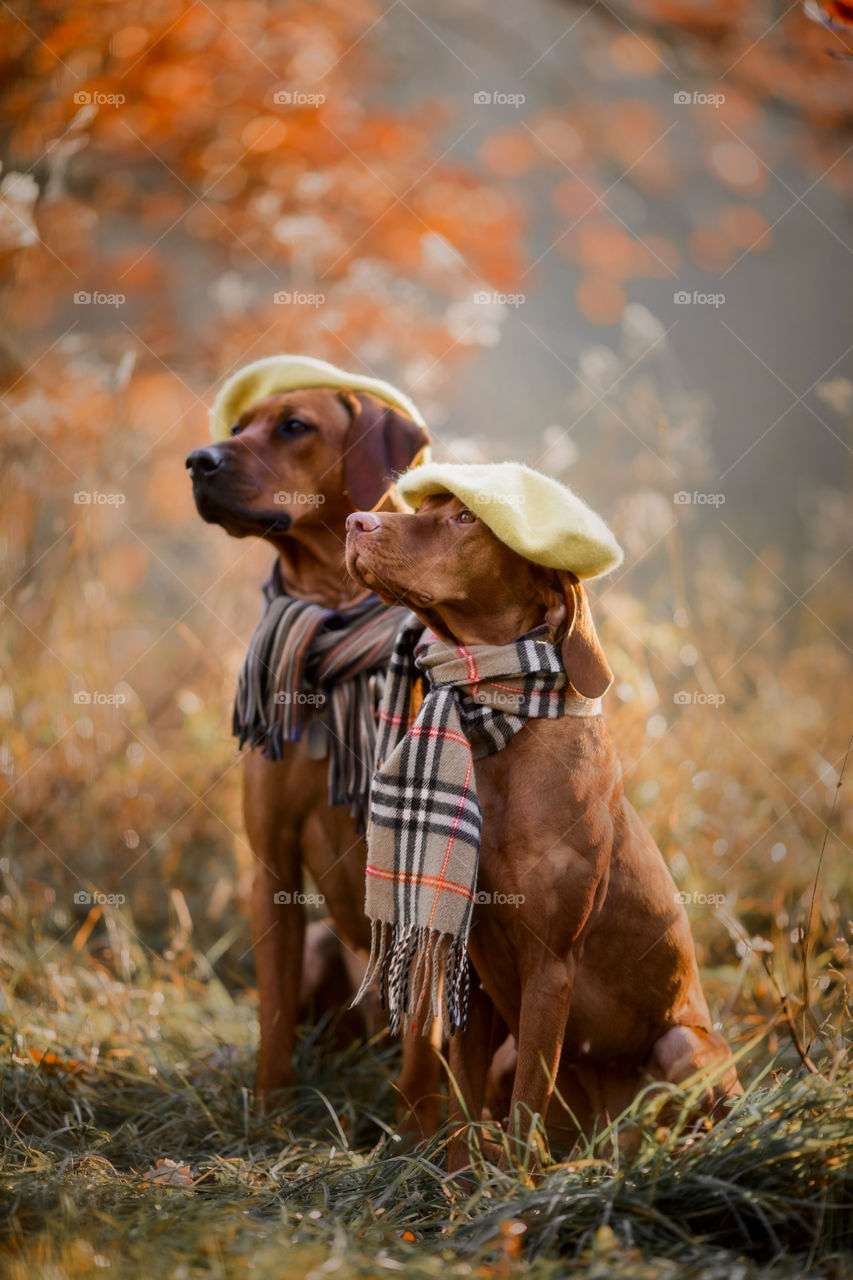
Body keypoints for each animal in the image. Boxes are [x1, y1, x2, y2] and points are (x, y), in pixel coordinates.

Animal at [185, 373, 438, 1131]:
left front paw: (418, 1137)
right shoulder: (270, 863)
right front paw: (271, 1112)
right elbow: (271, 1013)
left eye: (295, 426)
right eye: (238, 425)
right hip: (327, 944)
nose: (196, 461)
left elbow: (425, 1042)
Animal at [343, 473, 737, 1172]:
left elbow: (529, 1095)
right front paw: (460, 1184)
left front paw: (512, 1189)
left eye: (466, 519)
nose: (355, 522)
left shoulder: (550, 964)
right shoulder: (469, 967)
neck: (499, 718)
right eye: (426, 508)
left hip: (683, 1048)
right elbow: (465, 1103)